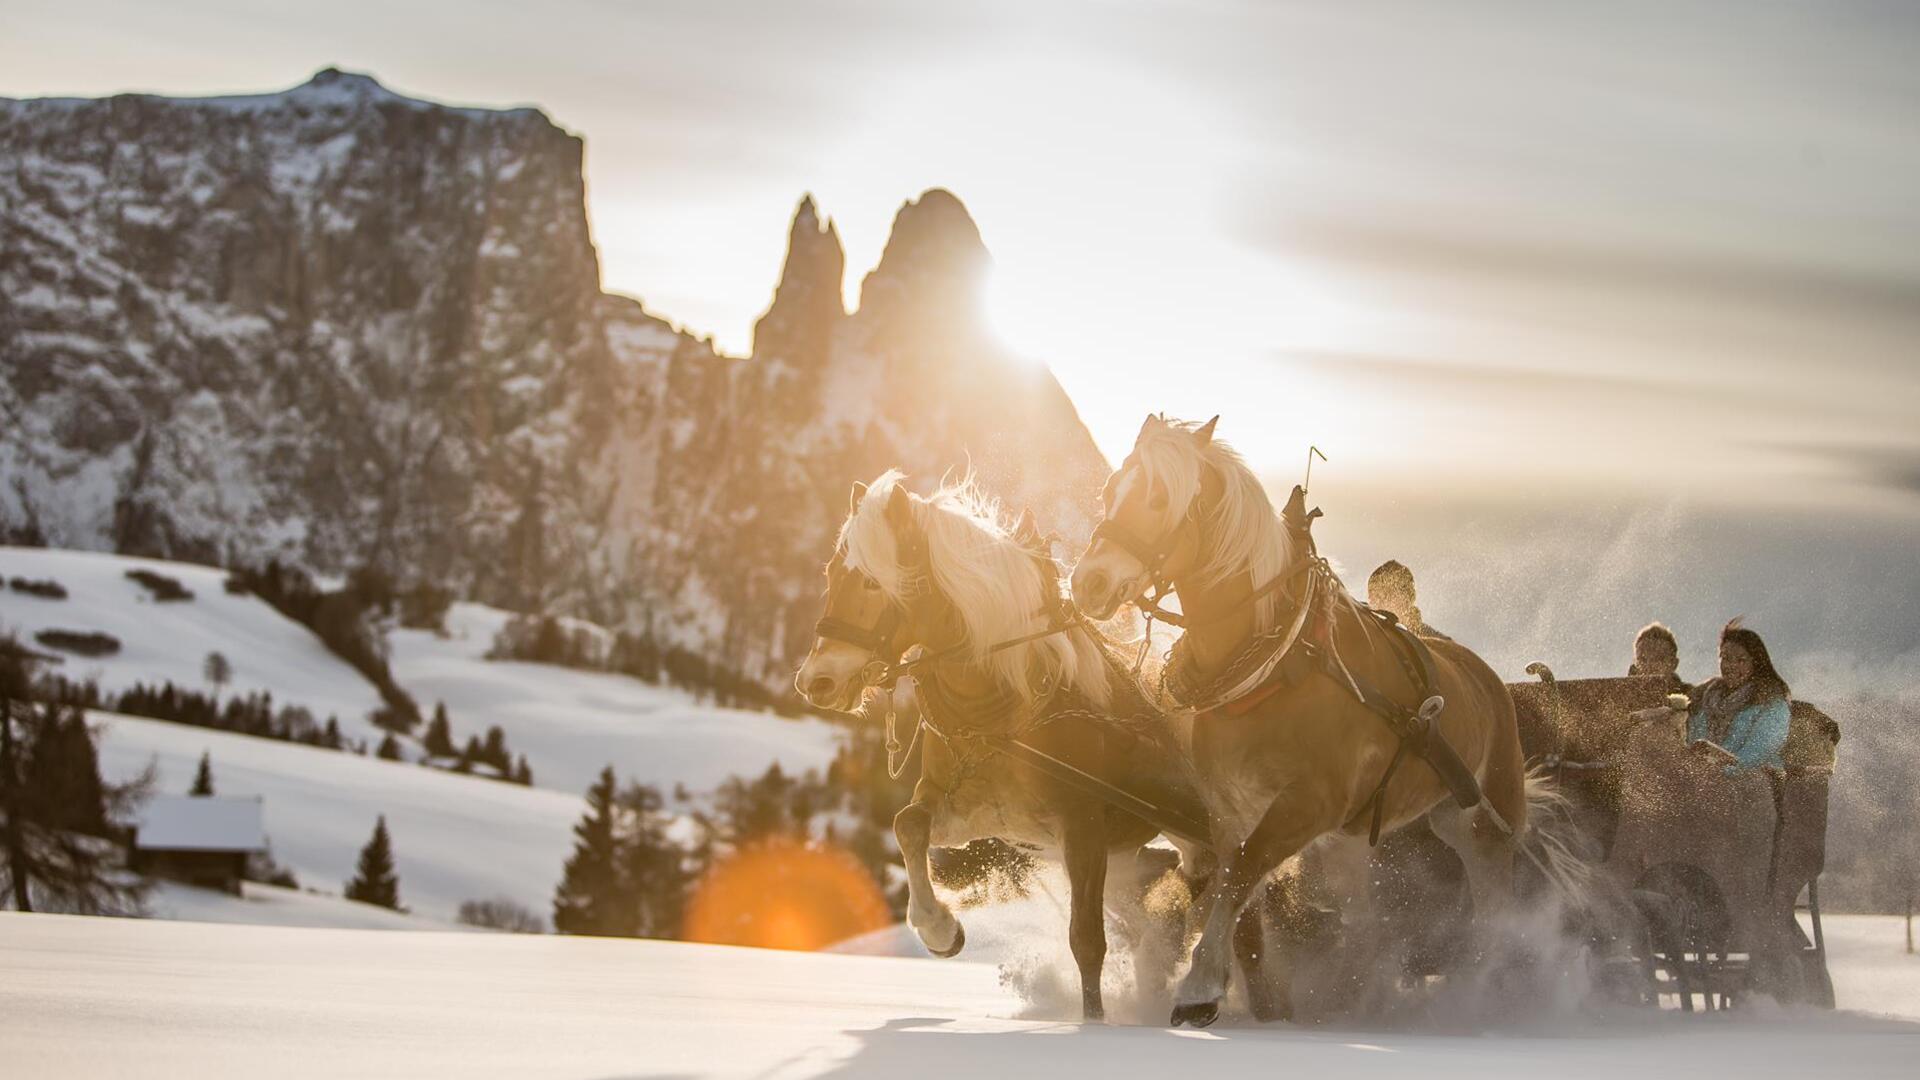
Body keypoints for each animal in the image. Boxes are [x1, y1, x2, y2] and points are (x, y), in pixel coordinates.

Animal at [794, 470, 1211, 1021]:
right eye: (830, 574)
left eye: (869, 580)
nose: (815, 681)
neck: (1006, 708)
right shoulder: (974, 813)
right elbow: (908, 826)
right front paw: (940, 929)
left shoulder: (1083, 828)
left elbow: (1087, 941)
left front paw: (1094, 1022)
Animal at [1070, 414, 1589, 1027]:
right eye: (1110, 491)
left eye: (1157, 497)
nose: (1088, 583)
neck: (1276, 663)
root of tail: (1484, 675)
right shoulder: (1230, 806)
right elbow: (1235, 887)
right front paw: (1247, 990)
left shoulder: (1309, 803)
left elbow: (1243, 872)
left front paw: (1199, 985)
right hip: (1366, 834)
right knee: (1360, 916)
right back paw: (1352, 993)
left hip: (1484, 819)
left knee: (1493, 905)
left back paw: (1486, 993)